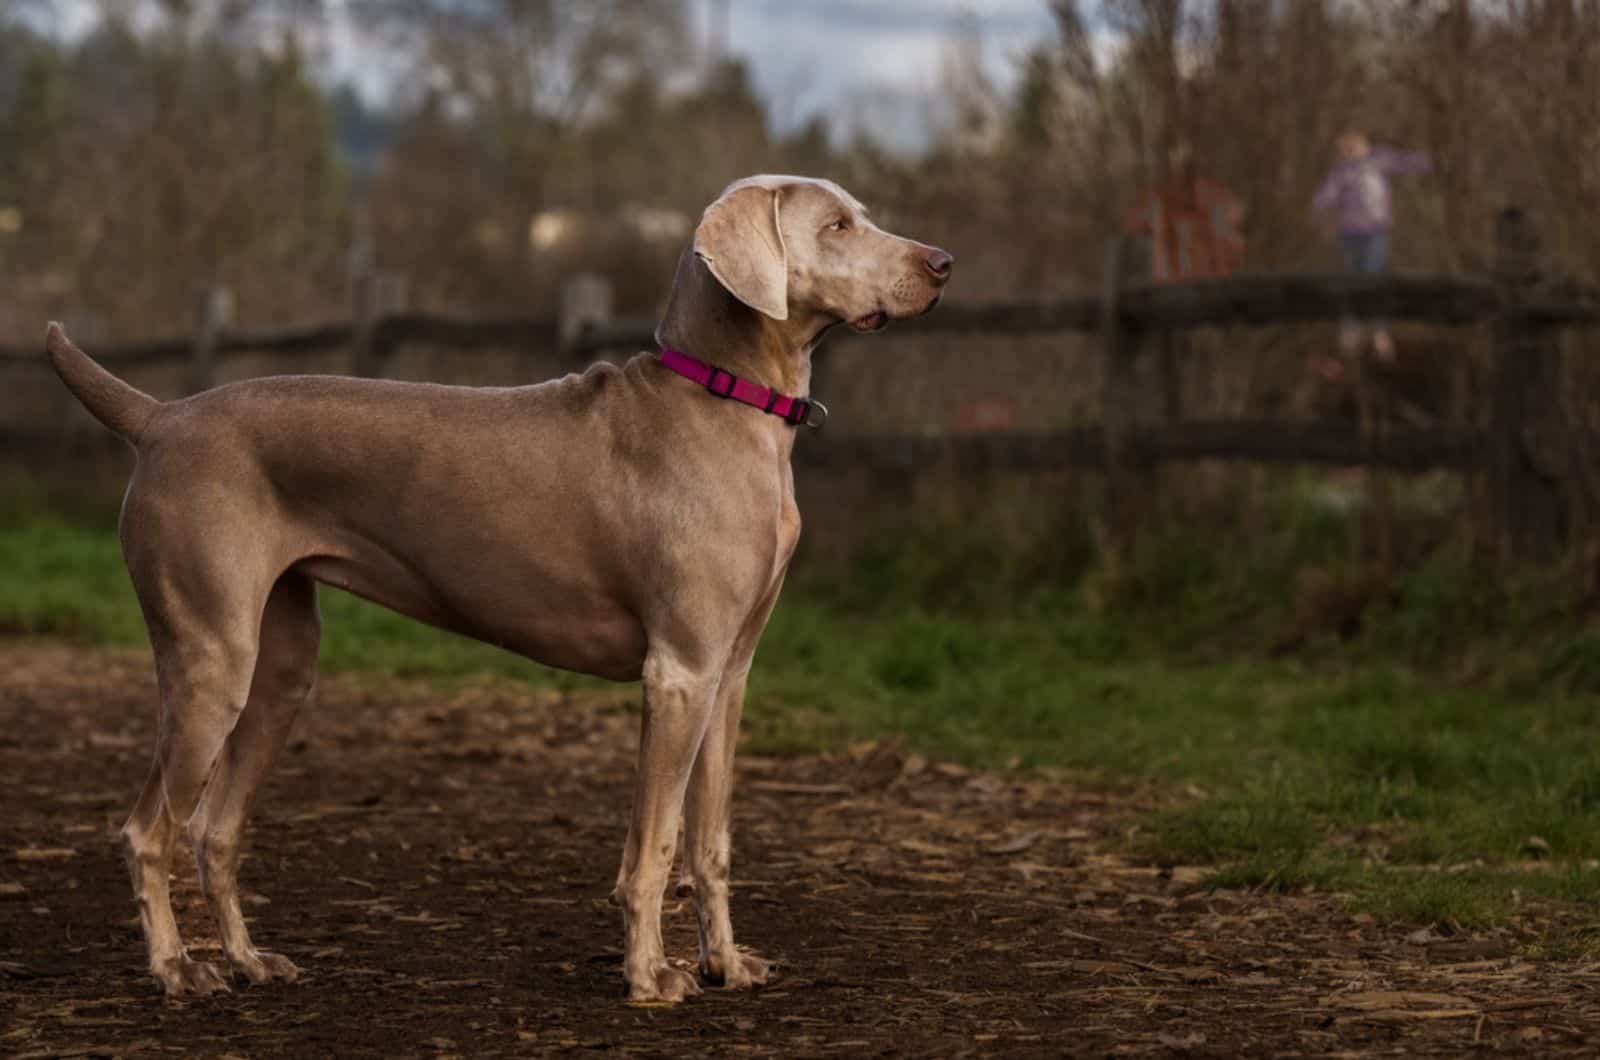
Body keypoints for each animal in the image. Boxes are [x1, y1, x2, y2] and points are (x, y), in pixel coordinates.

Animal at [46, 174, 947, 1005]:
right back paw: (177, 969)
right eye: (836, 226)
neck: (721, 397)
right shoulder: (680, 673)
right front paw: (649, 975)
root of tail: (162, 416)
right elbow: (655, 846)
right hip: (210, 659)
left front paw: (724, 964)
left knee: (214, 827)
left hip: (280, 670)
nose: (942, 263)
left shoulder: (728, 678)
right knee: (147, 830)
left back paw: (245, 960)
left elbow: (710, 842)